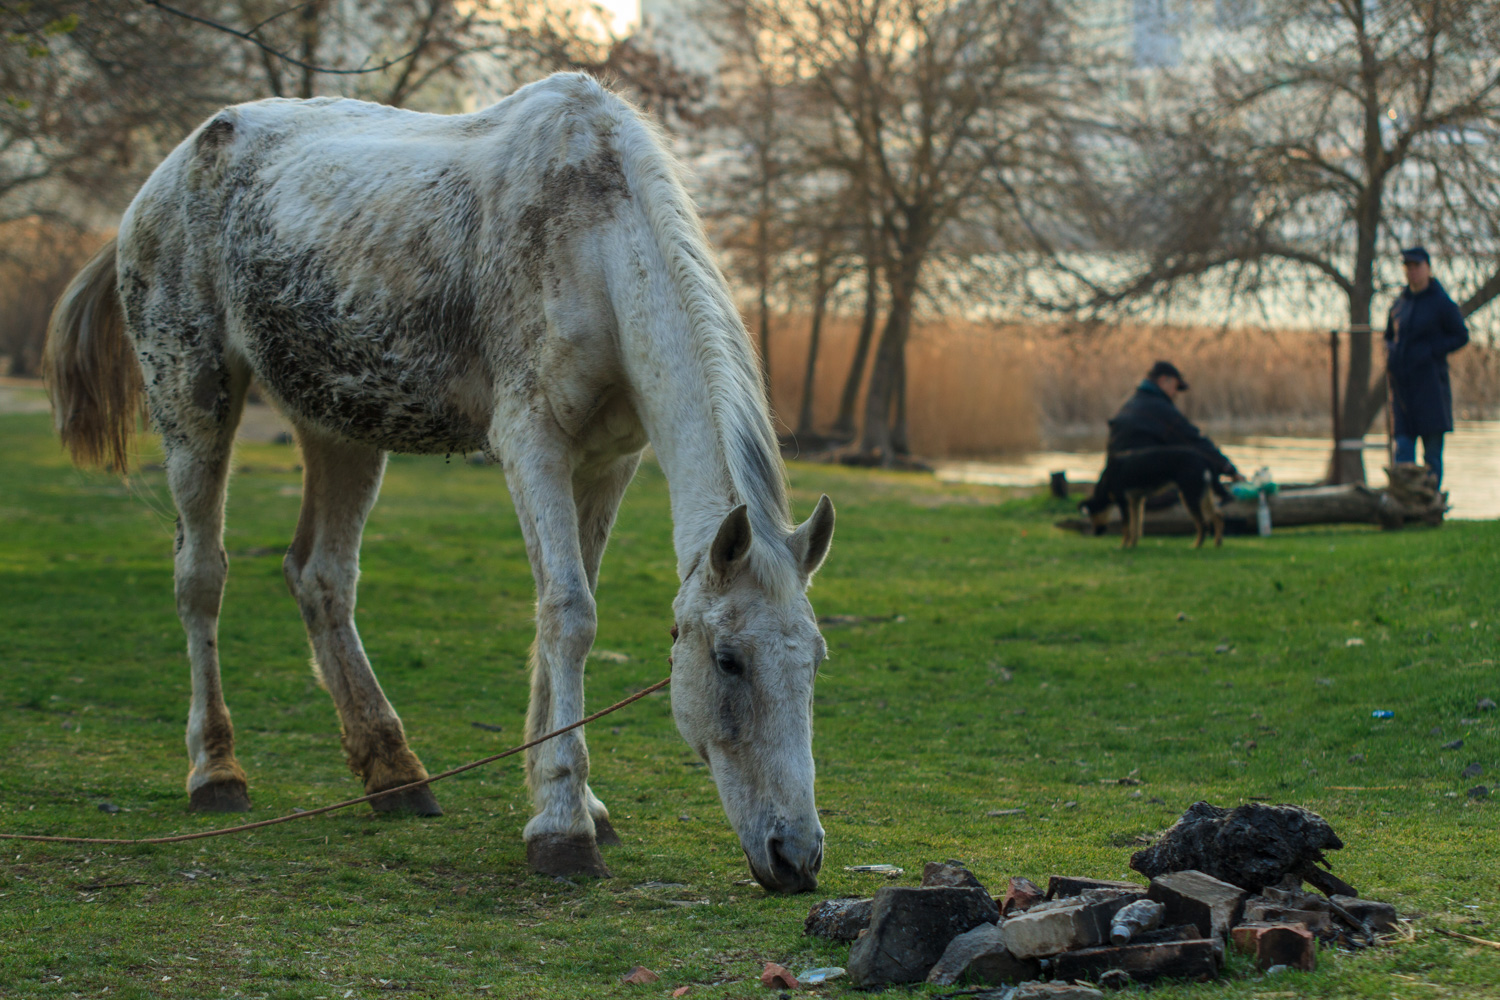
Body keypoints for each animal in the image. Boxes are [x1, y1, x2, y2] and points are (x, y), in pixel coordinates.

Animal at [46, 74, 840, 893]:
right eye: (727, 660)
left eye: (814, 661)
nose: (796, 856)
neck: (598, 244)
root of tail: (164, 175)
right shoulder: (530, 442)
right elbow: (569, 613)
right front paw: (562, 827)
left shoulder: (609, 460)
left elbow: (564, 604)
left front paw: (579, 804)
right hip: (194, 399)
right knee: (201, 577)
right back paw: (216, 772)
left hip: (339, 425)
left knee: (321, 578)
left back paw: (394, 772)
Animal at [1080, 446, 1230, 551]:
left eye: (1092, 515)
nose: (1095, 533)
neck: (1107, 478)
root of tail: (1204, 459)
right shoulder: (1136, 502)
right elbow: (1136, 526)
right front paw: (1132, 545)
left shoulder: (1124, 502)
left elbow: (1126, 528)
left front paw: (1123, 546)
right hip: (1203, 495)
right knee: (1217, 516)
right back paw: (1217, 542)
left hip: (1189, 495)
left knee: (1202, 524)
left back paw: (1196, 546)